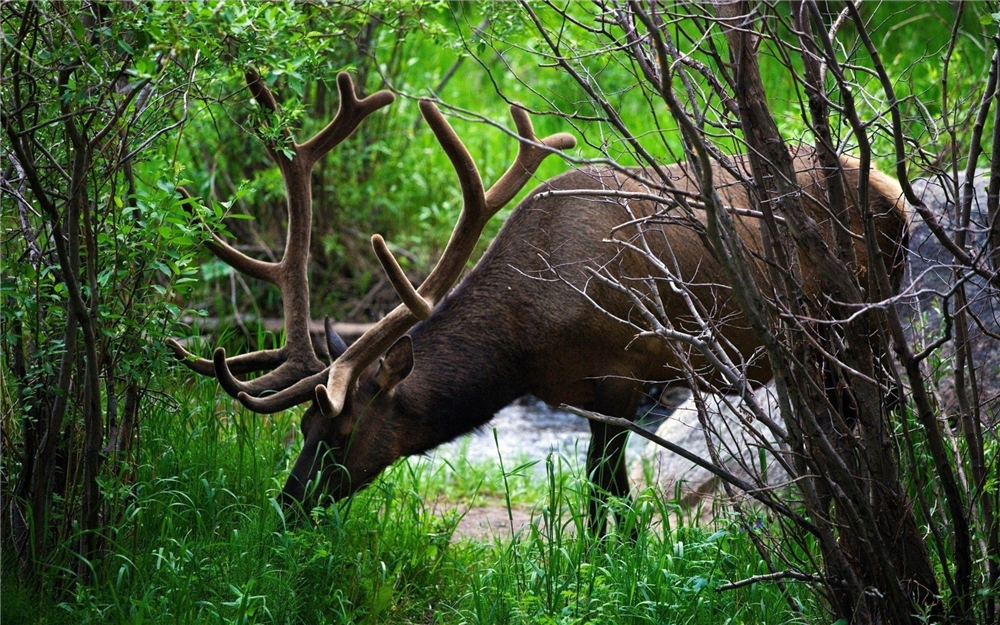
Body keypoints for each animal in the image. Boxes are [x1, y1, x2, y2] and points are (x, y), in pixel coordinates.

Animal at [170, 69, 908, 532]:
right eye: (302, 428)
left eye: (342, 432)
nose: (287, 506)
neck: (524, 345)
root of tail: (892, 190)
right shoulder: (581, 392)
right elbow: (599, 493)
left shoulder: (622, 372)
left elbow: (606, 495)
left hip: (856, 322)